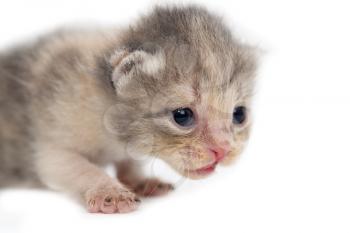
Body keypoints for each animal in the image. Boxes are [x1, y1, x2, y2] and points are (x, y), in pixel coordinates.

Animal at [0, 5, 258, 213]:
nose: (224, 150)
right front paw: (109, 192)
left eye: (239, 115)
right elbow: (77, 168)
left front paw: (140, 180)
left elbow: (130, 161)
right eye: (182, 116)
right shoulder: (52, 144)